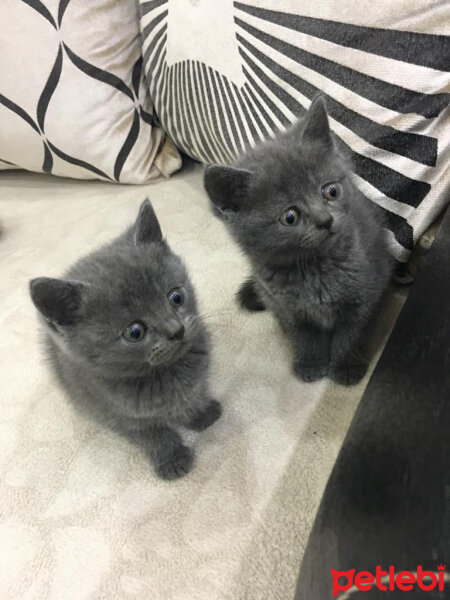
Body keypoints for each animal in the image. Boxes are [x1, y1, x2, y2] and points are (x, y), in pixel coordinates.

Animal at [29, 199, 221, 480]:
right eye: (135, 332)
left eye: (176, 297)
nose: (176, 330)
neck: (165, 374)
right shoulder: (119, 415)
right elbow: (153, 435)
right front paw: (172, 459)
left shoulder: (197, 380)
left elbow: (194, 395)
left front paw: (202, 414)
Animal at [206, 94, 392, 384]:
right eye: (290, 217)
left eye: (331, 191)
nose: (325, 220)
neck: (315, 269)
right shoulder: (287, 308)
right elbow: (303, 336)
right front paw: (311, 363)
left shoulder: (365, 292)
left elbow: (352, 333)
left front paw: (346, 366)